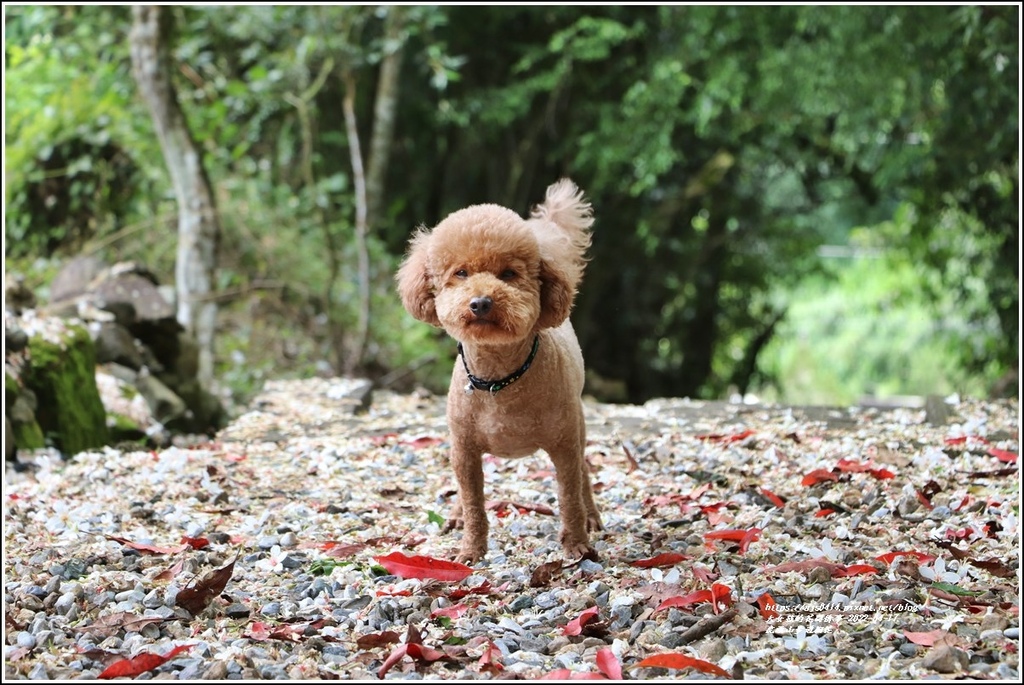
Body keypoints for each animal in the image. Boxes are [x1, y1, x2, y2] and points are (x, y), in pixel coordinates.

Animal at [391, 179, 598, 565]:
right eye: (460, 273)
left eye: (509, 274)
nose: (481, 302)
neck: (499, 378)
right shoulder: (464, 449)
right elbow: (474, 502)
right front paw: (471, 549)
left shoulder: (563, 445)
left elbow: (569, 496)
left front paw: (577, 544)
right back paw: (455, 515)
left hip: (576, 424)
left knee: (583, 473)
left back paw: (592, 514)